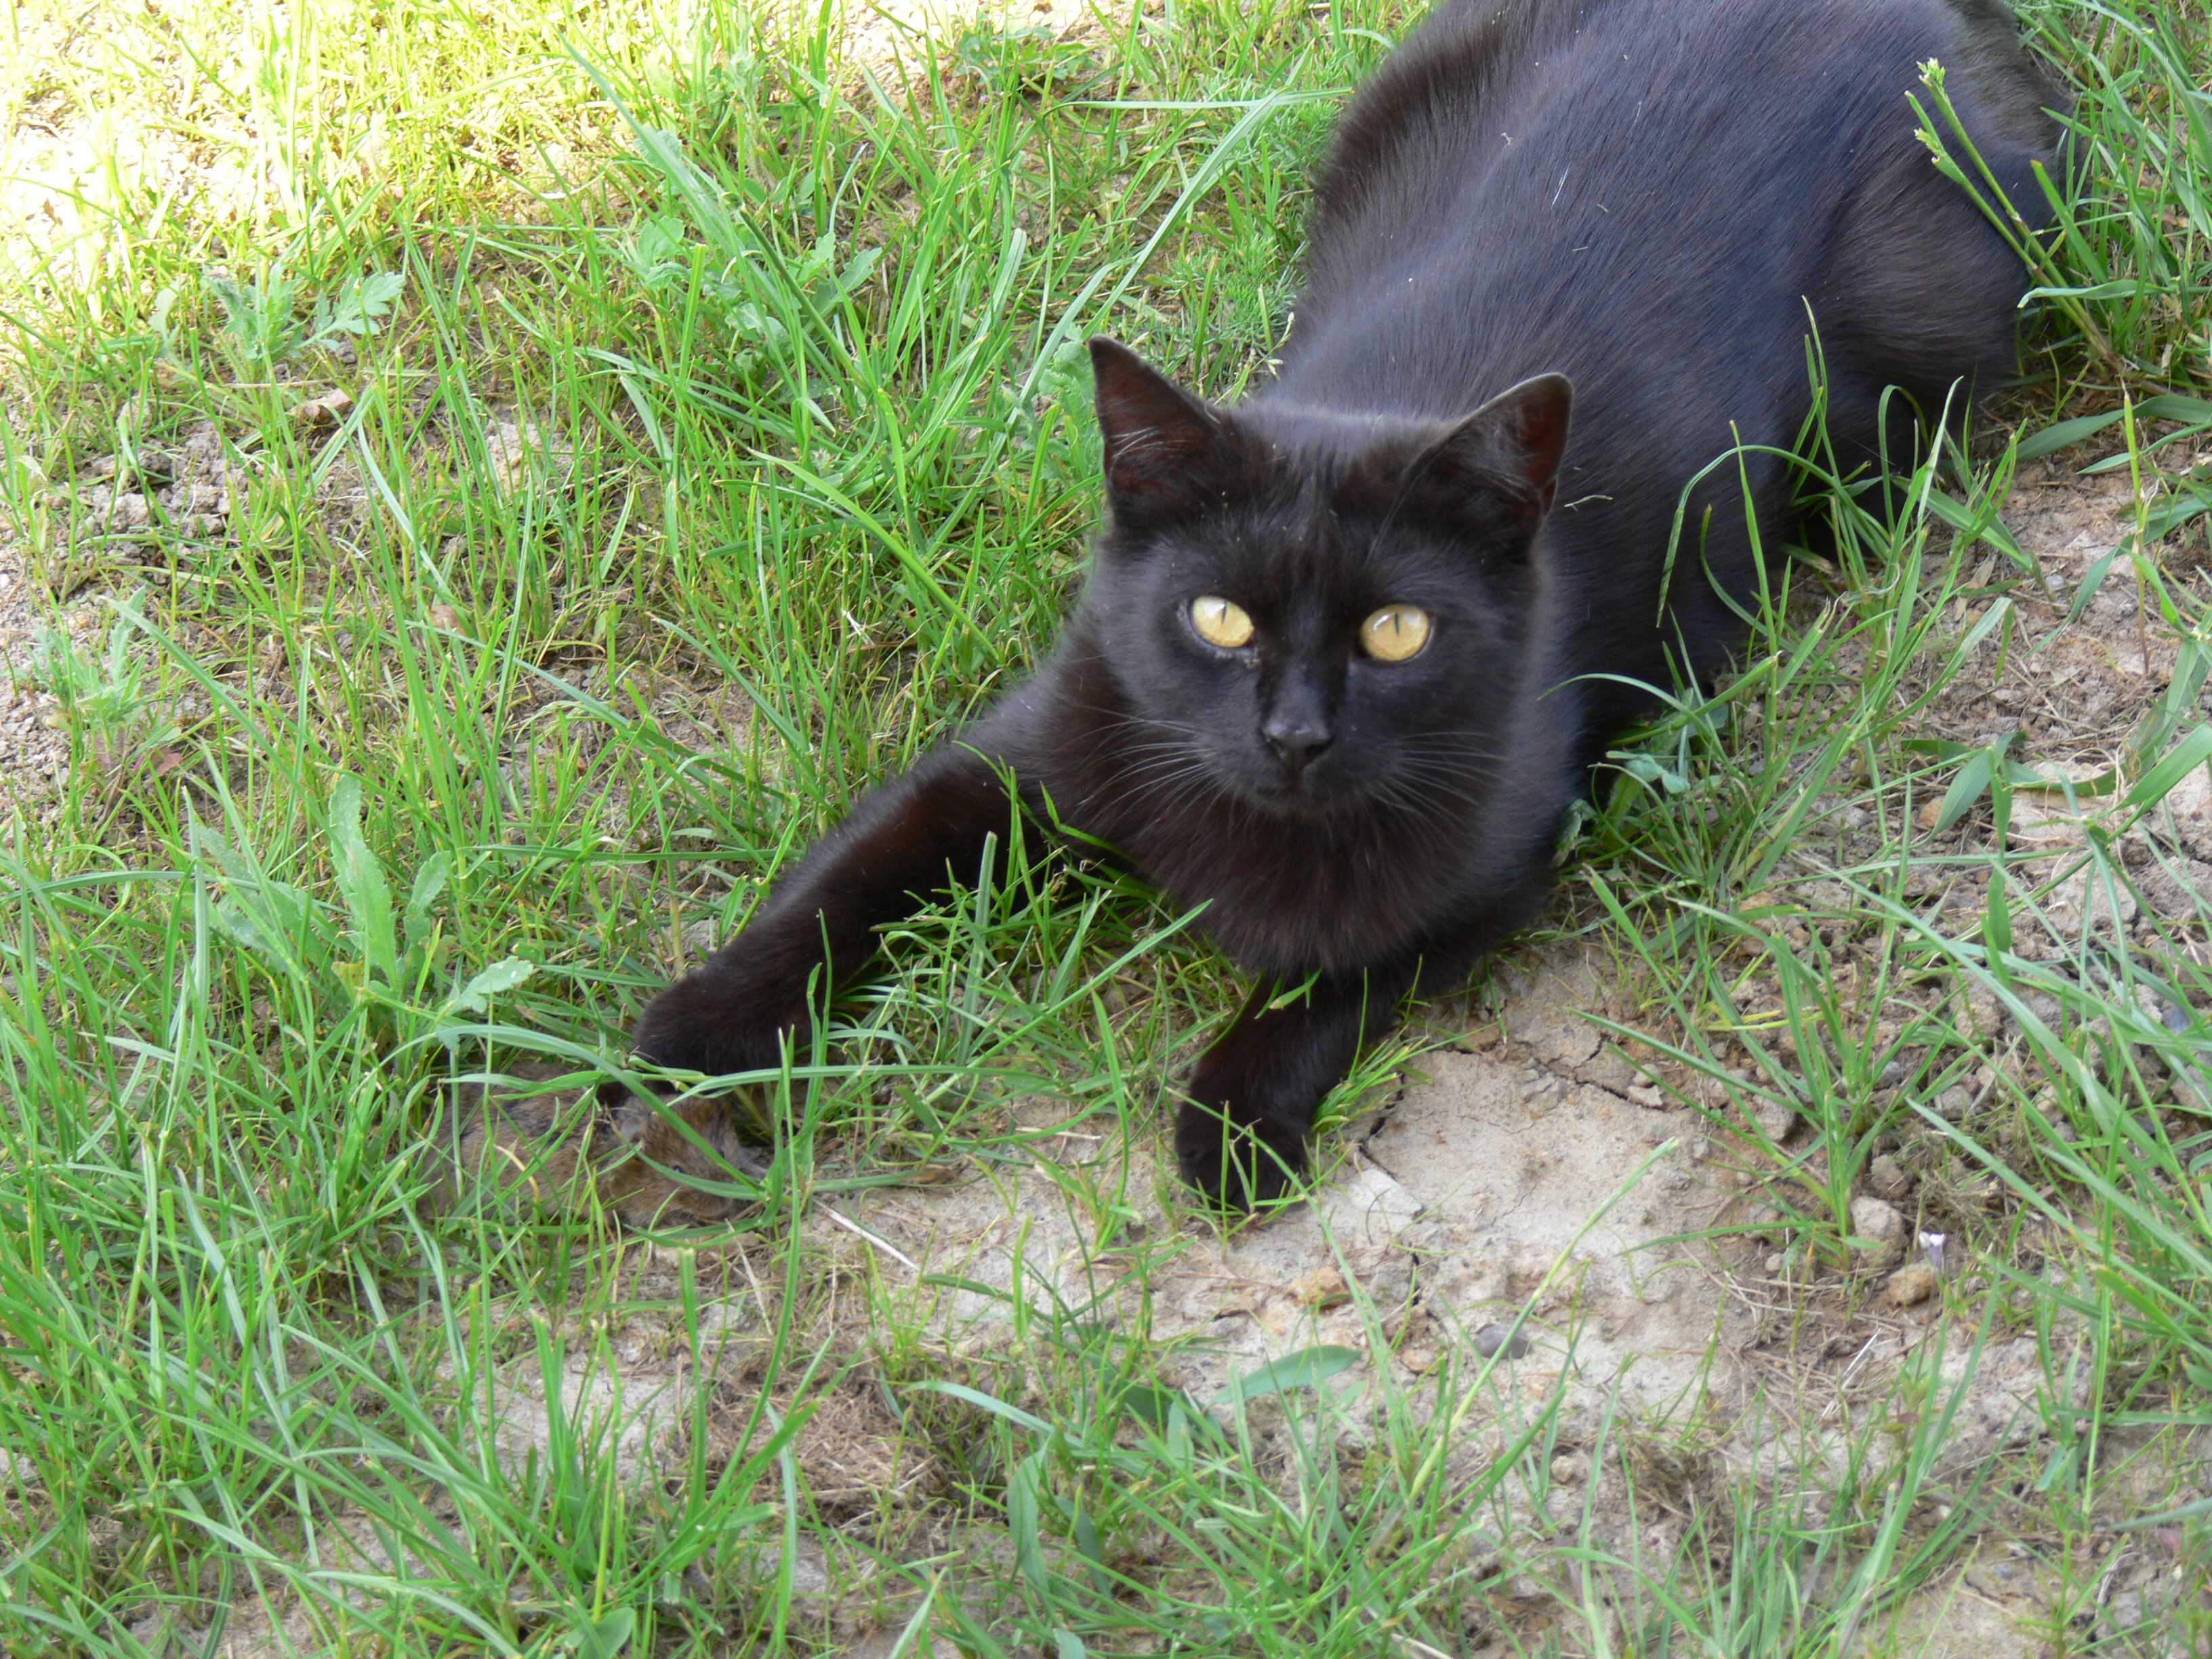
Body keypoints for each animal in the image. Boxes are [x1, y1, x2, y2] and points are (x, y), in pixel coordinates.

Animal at [619, 0, 2052, 1212]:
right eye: (1217, 620)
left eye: (1393, 633)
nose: (1294, 734)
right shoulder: (1024, 747)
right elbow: (856, 867)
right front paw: (699, 1026)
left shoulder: (1494, 854)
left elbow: (1331, 984)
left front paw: (1230, 1121)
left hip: (1917, 352)